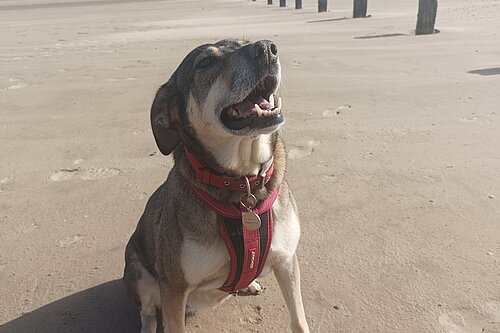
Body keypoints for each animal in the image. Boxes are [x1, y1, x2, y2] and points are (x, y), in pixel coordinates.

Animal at [124, 39, 308, 332]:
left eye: (246, 42)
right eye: (205, 63)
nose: (267, 48)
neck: (243, 183)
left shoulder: (287, 261)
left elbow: (299, 321)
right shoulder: (174, 288)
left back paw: (249, 284)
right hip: (137, 270)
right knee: (148, 312)